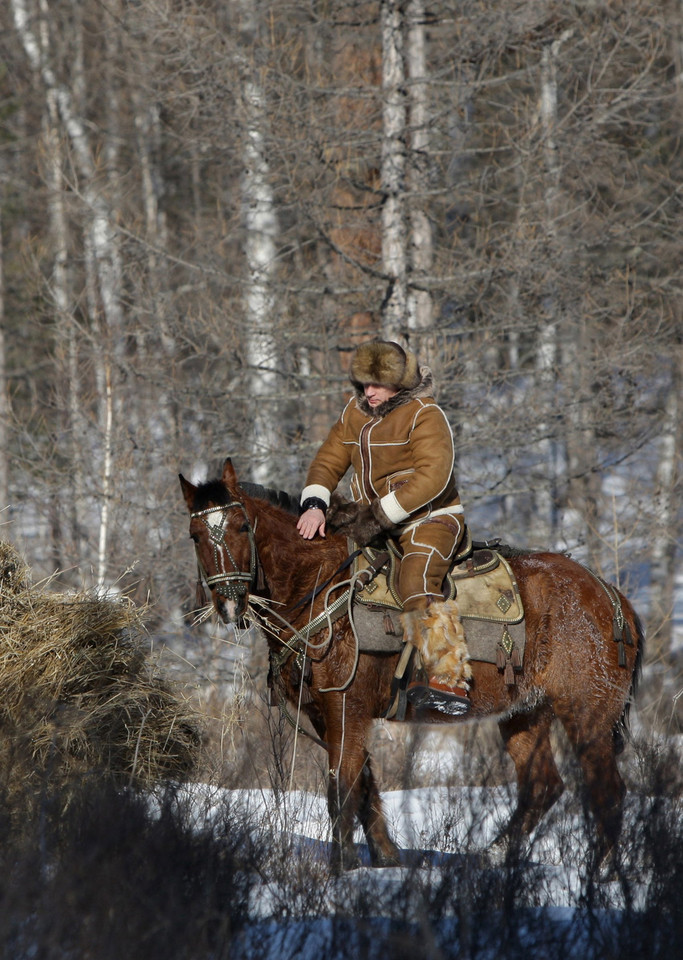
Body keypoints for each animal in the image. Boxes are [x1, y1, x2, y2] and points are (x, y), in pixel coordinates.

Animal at [179, 462, 644, 872]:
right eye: (195, 535)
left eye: (242, 528)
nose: (230, 603)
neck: (320, 586)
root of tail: (612, 597)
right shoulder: (329, 716)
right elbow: (364, 784)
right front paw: (385, 858)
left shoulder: (345, 709)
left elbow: (342, 788)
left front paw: (342, 868)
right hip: (524, 713)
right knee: (543, 786)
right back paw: (492, 858)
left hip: (586, 713)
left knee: (607, 790)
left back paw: (600, 874)